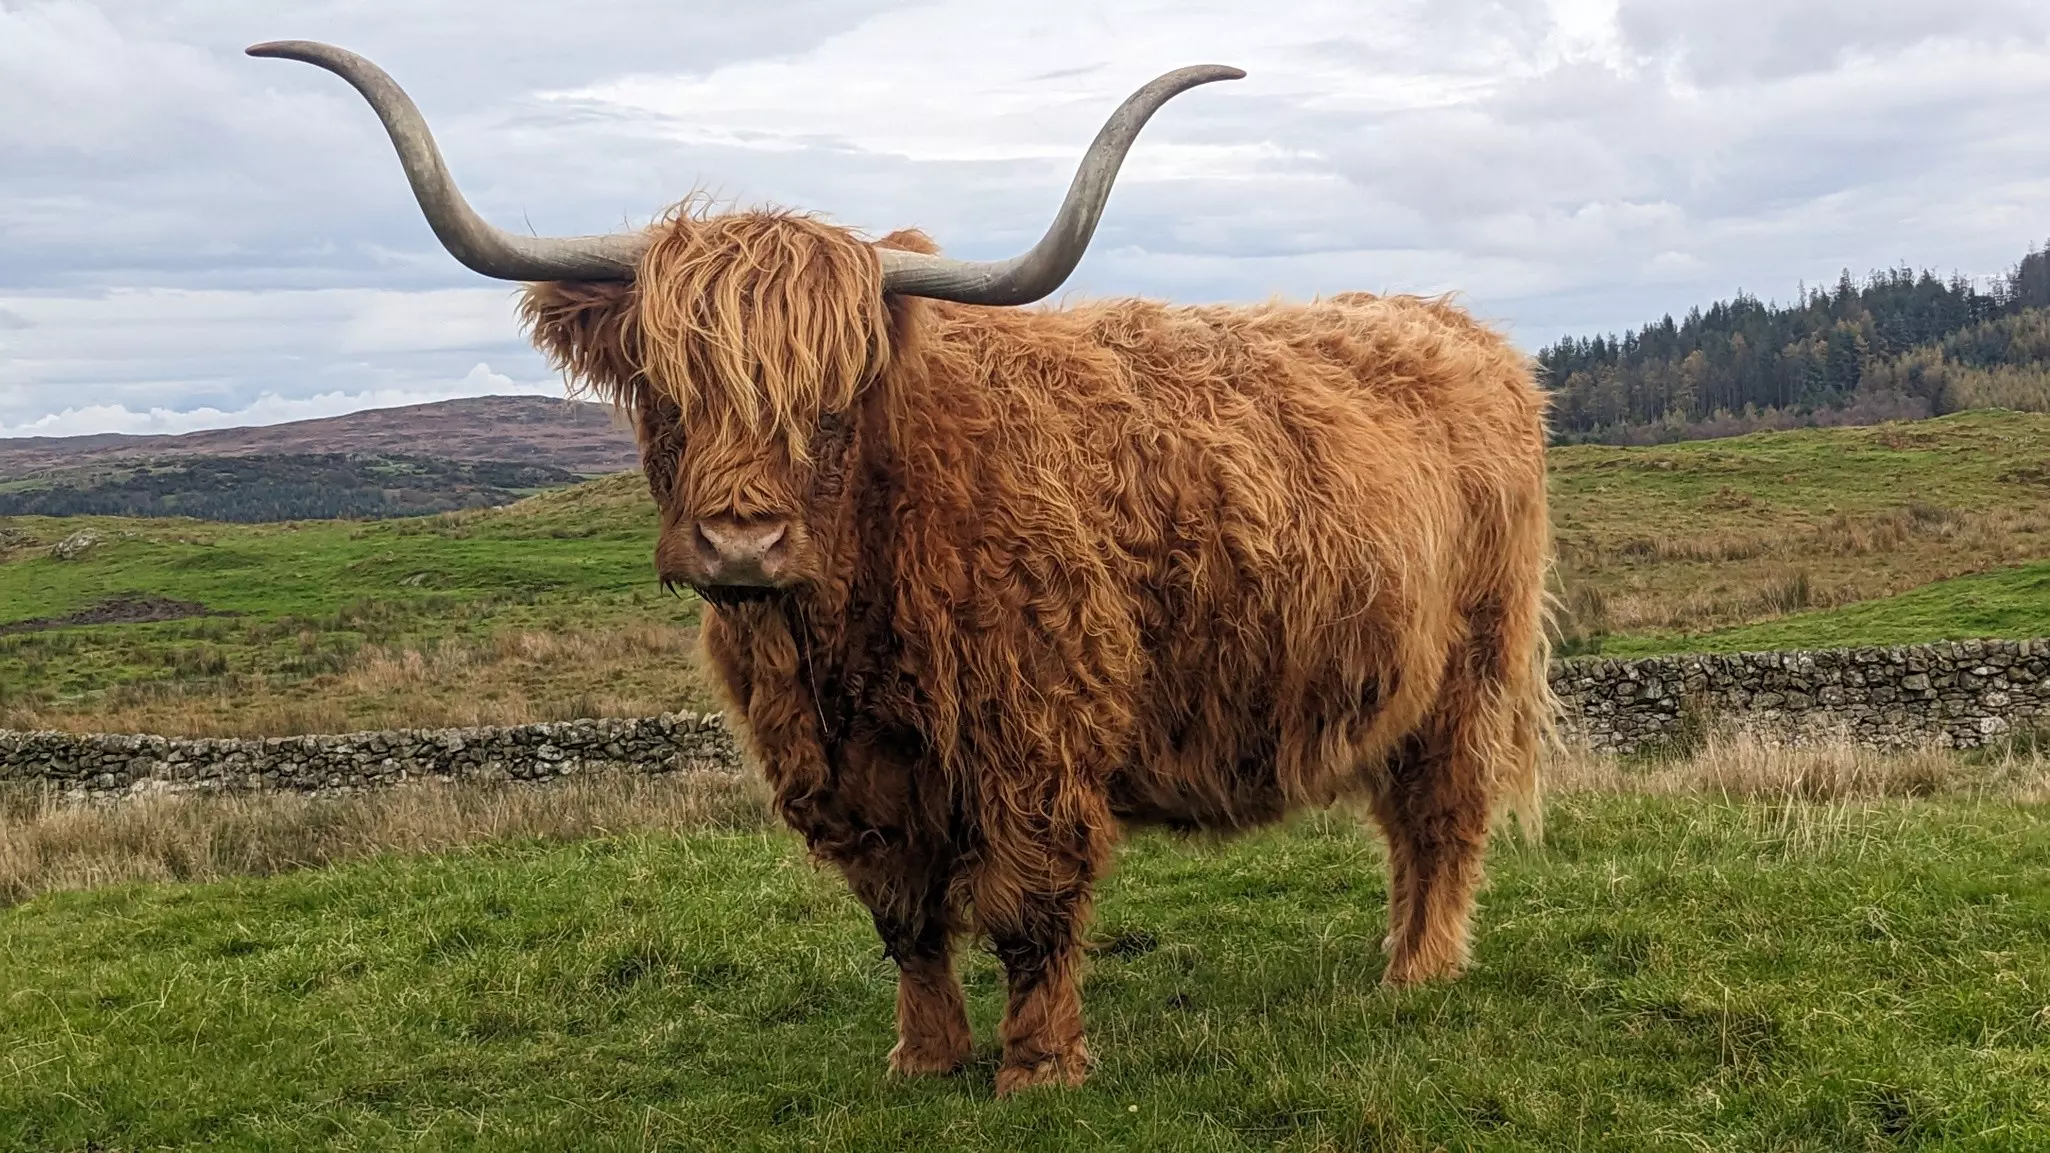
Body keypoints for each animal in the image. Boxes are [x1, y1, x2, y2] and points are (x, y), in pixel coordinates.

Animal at [252, 41, 1554, 1095]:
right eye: (668, 391)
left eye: (834, 400)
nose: (740, 542)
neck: (844, 630)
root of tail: (1457, 327)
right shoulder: (845, 770)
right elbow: (905, 917)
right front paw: (924, 1057)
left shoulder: (1036, 736)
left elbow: (1030, 904)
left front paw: (1036, 1066)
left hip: (1466, 672)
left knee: (1440, 818)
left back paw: (1417, 974)